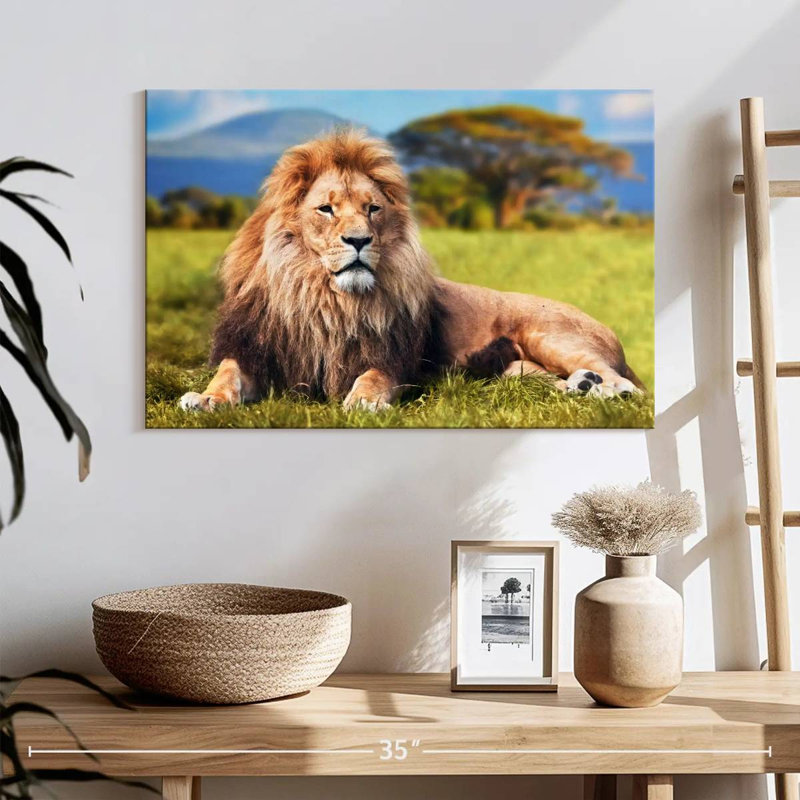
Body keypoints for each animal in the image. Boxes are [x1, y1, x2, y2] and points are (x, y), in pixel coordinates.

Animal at [180, 129, 644, 413]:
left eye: (372, 209)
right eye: (326, 209)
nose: (359, 240)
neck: (323, 298)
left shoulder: (391, 358)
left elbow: (372, 377)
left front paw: (364, 402)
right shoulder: (253, 348)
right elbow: (227, 374)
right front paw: (204, 399)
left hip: (548, 334)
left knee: (629, 385)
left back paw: (607, 389)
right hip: (515, 370)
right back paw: (582, 386)